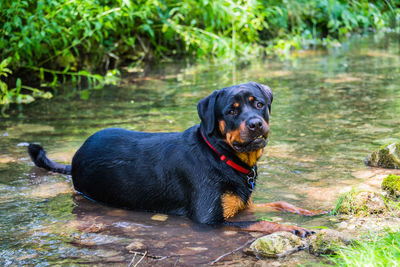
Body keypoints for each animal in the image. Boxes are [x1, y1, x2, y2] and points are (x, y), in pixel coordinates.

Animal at [28, 82, 322, 239]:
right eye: (231, 111)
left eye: (259, 104)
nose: (255, 124)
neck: (220, 155)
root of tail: (75, 156)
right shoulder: (209, 219)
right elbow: (263, 222)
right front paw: (293, 228)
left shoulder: (241, 204)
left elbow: (279, 203)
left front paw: (308, 212)